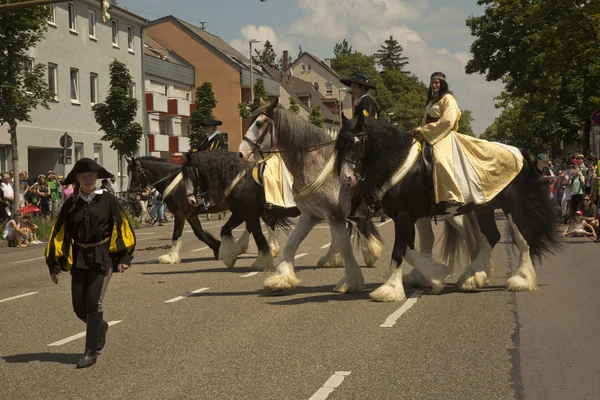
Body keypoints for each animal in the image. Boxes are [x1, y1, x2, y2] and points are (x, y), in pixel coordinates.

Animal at [237, 98, 382, 292]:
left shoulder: (334, 214)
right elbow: (291, 245)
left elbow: (346, 247)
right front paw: (281, 278)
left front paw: (351, 281)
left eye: (259, 124)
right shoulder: (310, 215)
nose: (241, 153)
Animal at [336, 112, 560, 300]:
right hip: (484, 207)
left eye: (357, 141)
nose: (346, 179)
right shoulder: (407, 217)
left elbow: (399, 251)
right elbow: (410, 250)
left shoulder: (404, 216)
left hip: (510, 205)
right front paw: (434, 276)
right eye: (339, 143)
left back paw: (521, 280)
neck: (397, 163)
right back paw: (471, 278)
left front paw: (389, 290)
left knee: (522, 237)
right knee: (491, 236)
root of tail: (518, 151)